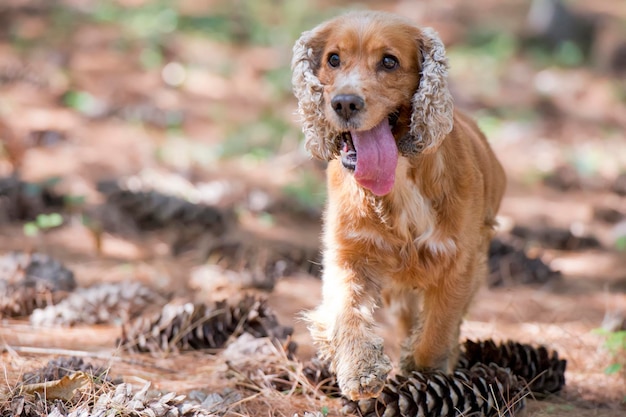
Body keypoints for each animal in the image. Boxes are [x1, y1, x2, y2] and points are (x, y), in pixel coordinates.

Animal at [292, 10, 502, 400]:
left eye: (389, 61)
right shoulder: (349, 253)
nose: (345, 103)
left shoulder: (458, 261)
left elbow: (437, 328)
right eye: (333, 59)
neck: (399, 178)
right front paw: (360, 369)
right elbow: (346, 311)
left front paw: (423, 370)